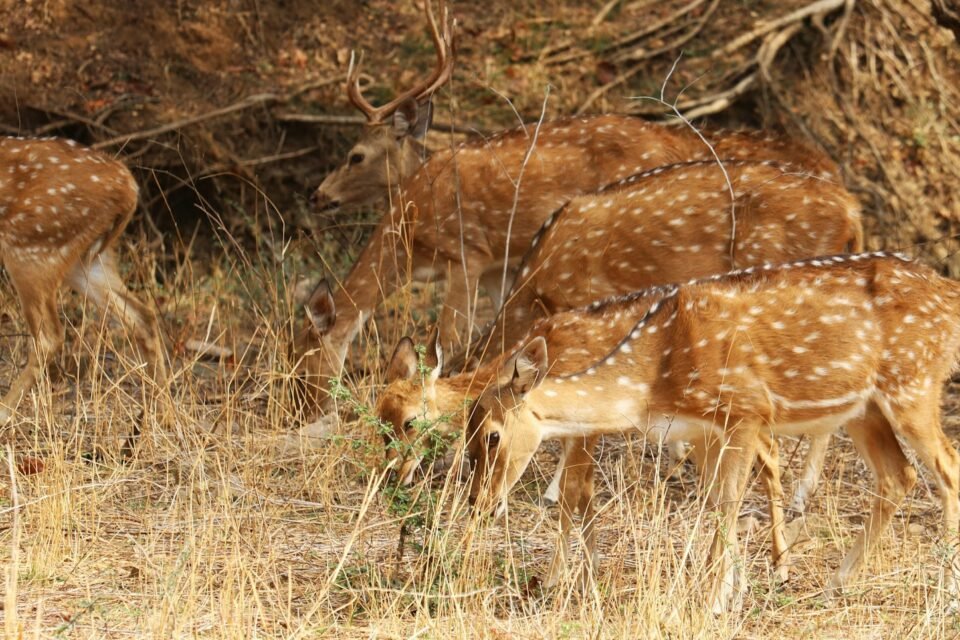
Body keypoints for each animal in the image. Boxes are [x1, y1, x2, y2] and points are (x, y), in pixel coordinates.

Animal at [0, 136, 166, 426]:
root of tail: (129, 186)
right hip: (85, 260)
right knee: (143, 315)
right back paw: (163, 414)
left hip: (33, 247)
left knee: (50, 336)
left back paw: (3, 413)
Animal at [294, 0, 843, 417]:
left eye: (355, 155)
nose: (317, 195)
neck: (410, 231)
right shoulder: (498, 267)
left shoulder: (468, 251)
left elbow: (448, 339)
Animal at [378, 159, 864, 580]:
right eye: (379, 423)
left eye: (409, 421)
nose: (390, 478)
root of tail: (852, 210)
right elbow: (584, 494)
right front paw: (586, 564)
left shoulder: (585, 421)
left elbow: (574, 493)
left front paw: (559, 573)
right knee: (770, 451)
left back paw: (783, 551)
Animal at [465, 252, 960, 613]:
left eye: (491, 435)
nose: (477, 502)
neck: (654, 379)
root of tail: (949, 295)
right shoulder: (705, 428)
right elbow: (715, 502)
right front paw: (726, 589)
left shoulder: (745, 407)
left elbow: (727, 502)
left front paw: (714, 599)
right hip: (864, 407)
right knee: (898, 475)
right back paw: (834, 585)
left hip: (913, 382)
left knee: (947, 468)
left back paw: (946, 589)